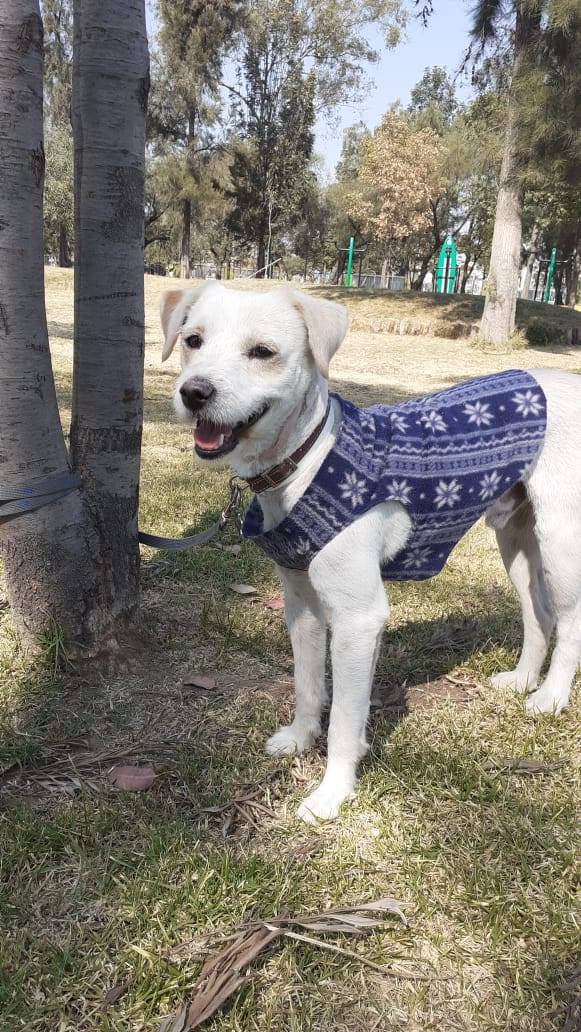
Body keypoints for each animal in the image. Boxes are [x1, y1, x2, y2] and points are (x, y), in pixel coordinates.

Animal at [160, 282, 581, 821]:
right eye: (193, 340)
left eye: (262, 352)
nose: (194, 393)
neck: (305, 462)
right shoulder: (303, 605)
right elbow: (309, 684)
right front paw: (300, 738)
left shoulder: (358, 615)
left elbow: (344, 715)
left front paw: (331, 793)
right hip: (517, 541)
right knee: (538, 614)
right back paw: (524, 678)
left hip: (559, 540)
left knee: (568, 623)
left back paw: (550, 697)